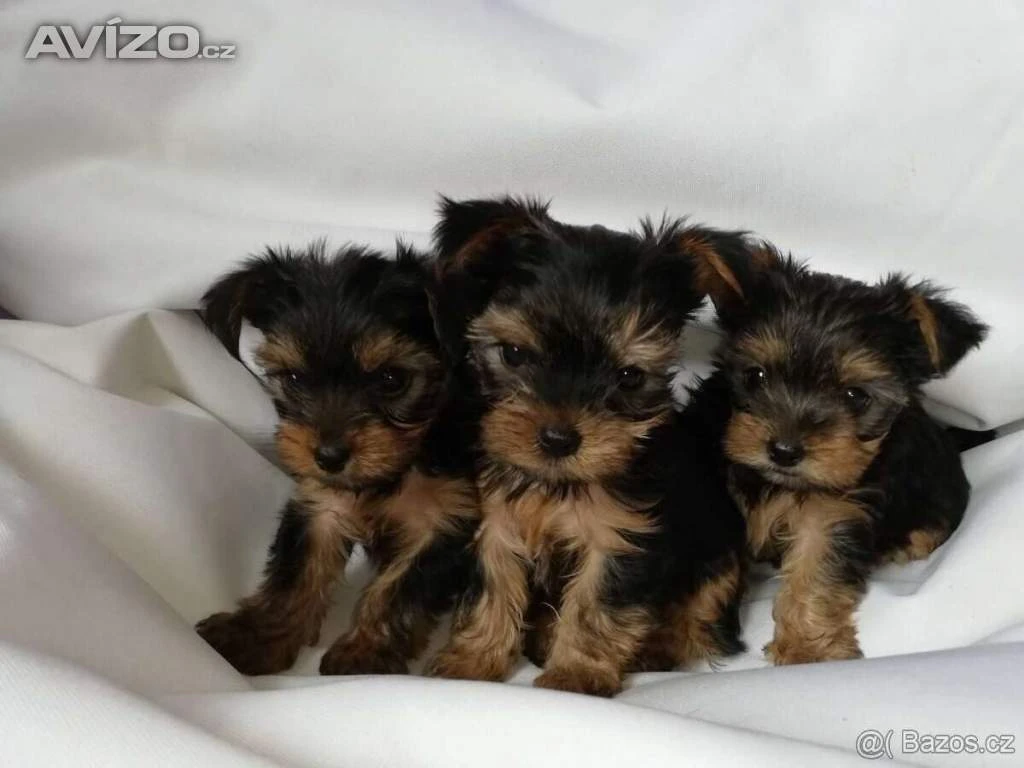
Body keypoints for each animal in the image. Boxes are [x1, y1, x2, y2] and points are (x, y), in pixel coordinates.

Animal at [195, 241, 479, 676]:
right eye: (294, 379)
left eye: (392, 379)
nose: (329, 456)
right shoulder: (320, 504)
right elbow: (295, 575)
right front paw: (256, 634)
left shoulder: (445, 518)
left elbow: (399, 587)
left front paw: (364, 652)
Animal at [424, 197, 748, 696]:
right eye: (514, 354)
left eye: (629, 377)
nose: (559, 439)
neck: (555, 483)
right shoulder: (494, 521)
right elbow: (491, 586)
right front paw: (471, 661)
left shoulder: (620, 534)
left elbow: (597, 604)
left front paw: (576, 674)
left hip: (720, 548)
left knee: (704, 613)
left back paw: (659, 645)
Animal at [685, 242, 988, 664]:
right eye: (755, 376)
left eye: (855, 396)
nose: (784, 451)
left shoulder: (834, 510)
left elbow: (817, 567)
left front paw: (806, 648)